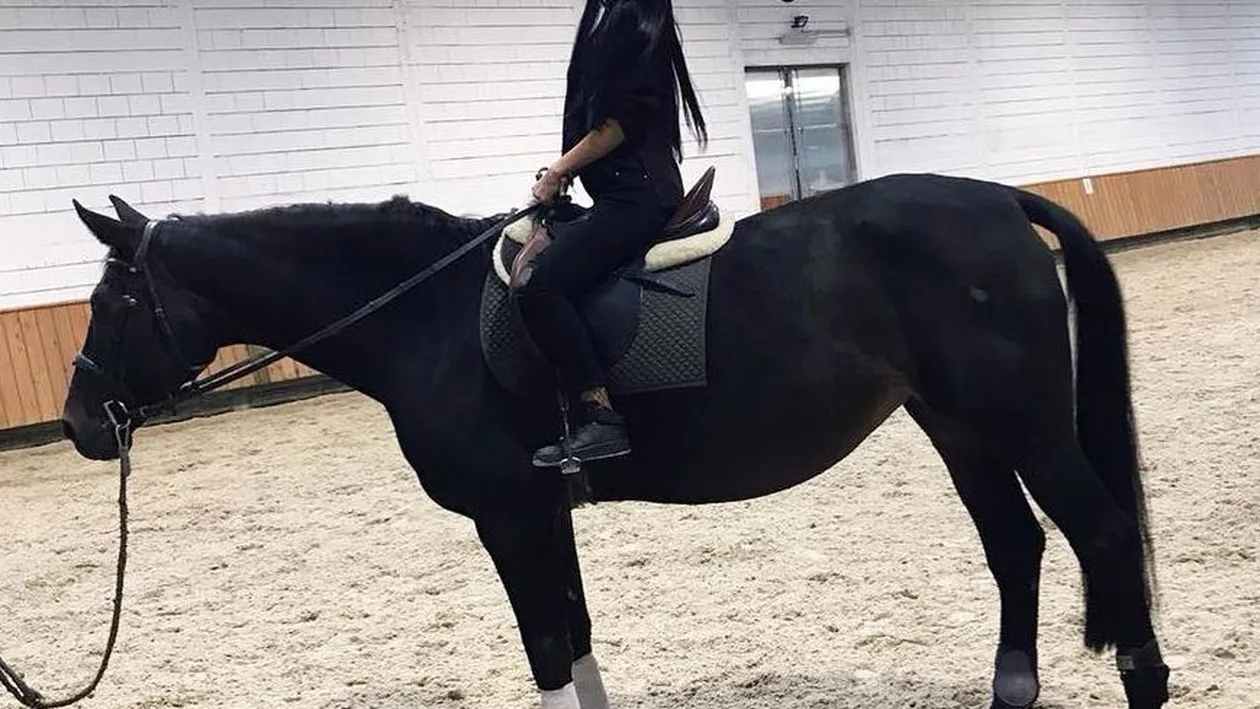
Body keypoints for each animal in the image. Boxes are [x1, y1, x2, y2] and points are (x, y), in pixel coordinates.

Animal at [58, 172, 1171, 709]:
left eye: (113, 302)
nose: (76, 424)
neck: (422, 315)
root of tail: (999, 201)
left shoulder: (510, 518)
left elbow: (549, 648)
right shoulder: (543, 515)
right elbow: (578, 637)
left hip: (1025, 423)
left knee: (1104, 536)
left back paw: (1142, 681)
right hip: (958, 424)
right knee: (1016, 545)